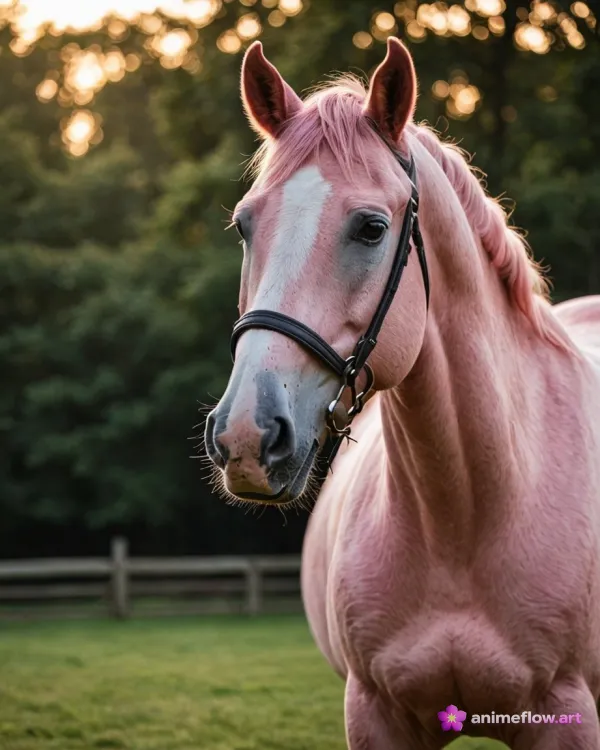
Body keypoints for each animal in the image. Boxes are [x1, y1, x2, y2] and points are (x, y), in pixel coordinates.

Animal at [204, 37, 600, 749]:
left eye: (370, 228)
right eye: (246, 225)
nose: (247, 435)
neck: (467, 510)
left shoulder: (568, 718)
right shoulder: (377, 713)